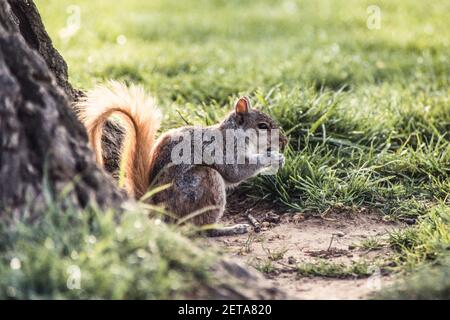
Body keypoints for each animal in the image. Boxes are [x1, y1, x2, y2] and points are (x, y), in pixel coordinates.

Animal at [76, 80, 288, 235]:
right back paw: (231, 229)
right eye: (262, 126)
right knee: (202, 228)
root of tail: (156, 207)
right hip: (206, 181)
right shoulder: (226, 150)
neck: (234, 133)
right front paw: (272, 157)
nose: (284, 141)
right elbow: (236, 172)